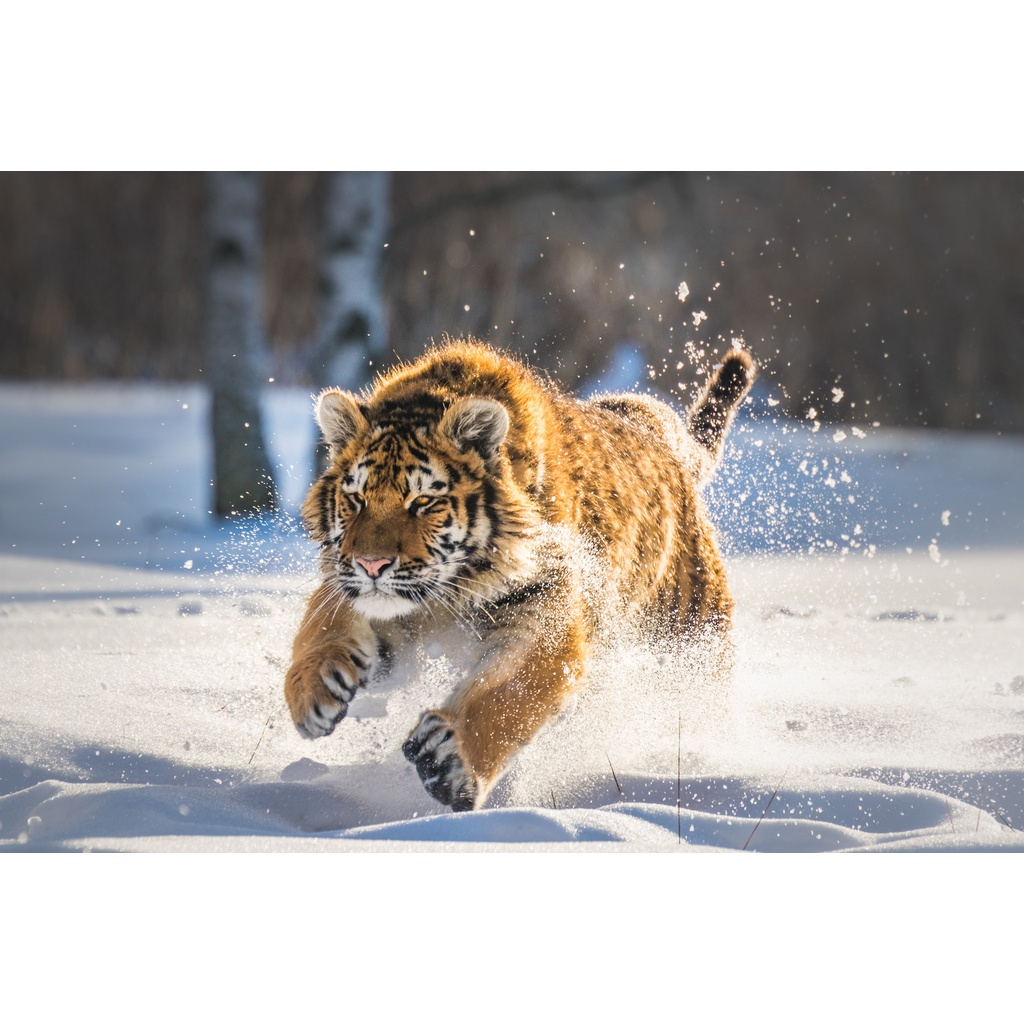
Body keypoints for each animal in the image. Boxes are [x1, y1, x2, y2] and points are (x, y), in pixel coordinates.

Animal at [284, 339, 755, 811]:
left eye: (422, 502)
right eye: (356, 498)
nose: (372, 564)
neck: (448, 593)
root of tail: (664, 436)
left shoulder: (547, 612)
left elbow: (509, 694)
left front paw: (449, 761)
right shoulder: (365, 591)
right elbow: (322, 621)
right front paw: (311, 691)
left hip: (692, 641)